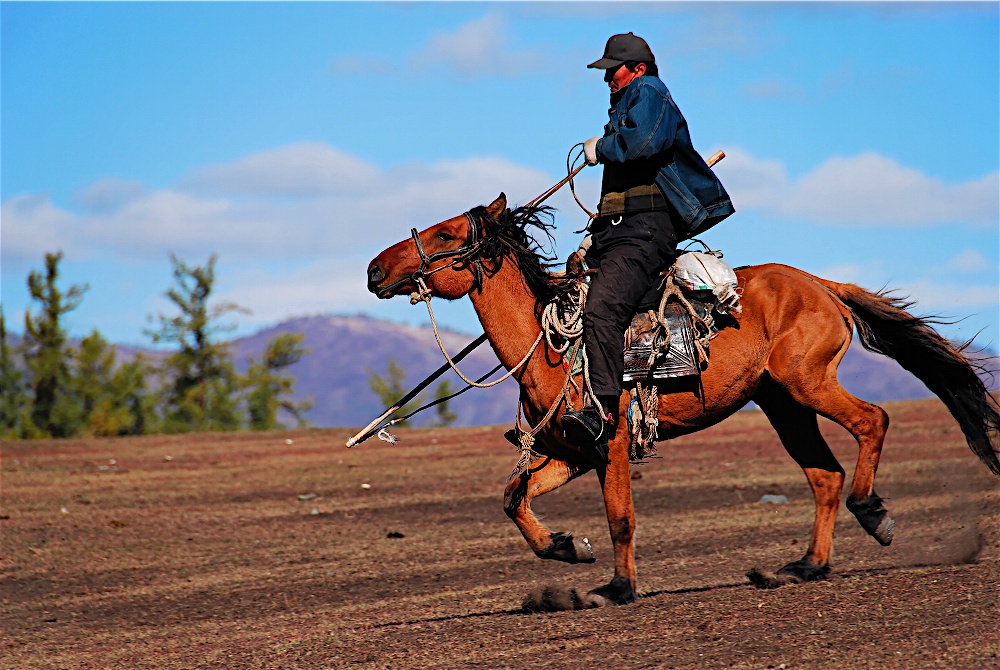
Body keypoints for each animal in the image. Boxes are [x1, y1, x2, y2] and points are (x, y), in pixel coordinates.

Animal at [366, 193, 1000, 606]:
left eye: (447, 235)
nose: (374, 268)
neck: (549, 345)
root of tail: (822, 285)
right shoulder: (574, 451)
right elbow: (513, 497)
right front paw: (568, 548)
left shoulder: (610, 442)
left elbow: (620, 517)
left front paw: (618, 587)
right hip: (783, 405)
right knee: (824, 474)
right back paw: (806, 566)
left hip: (809, 383)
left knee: (873, 421)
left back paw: (873, 514)